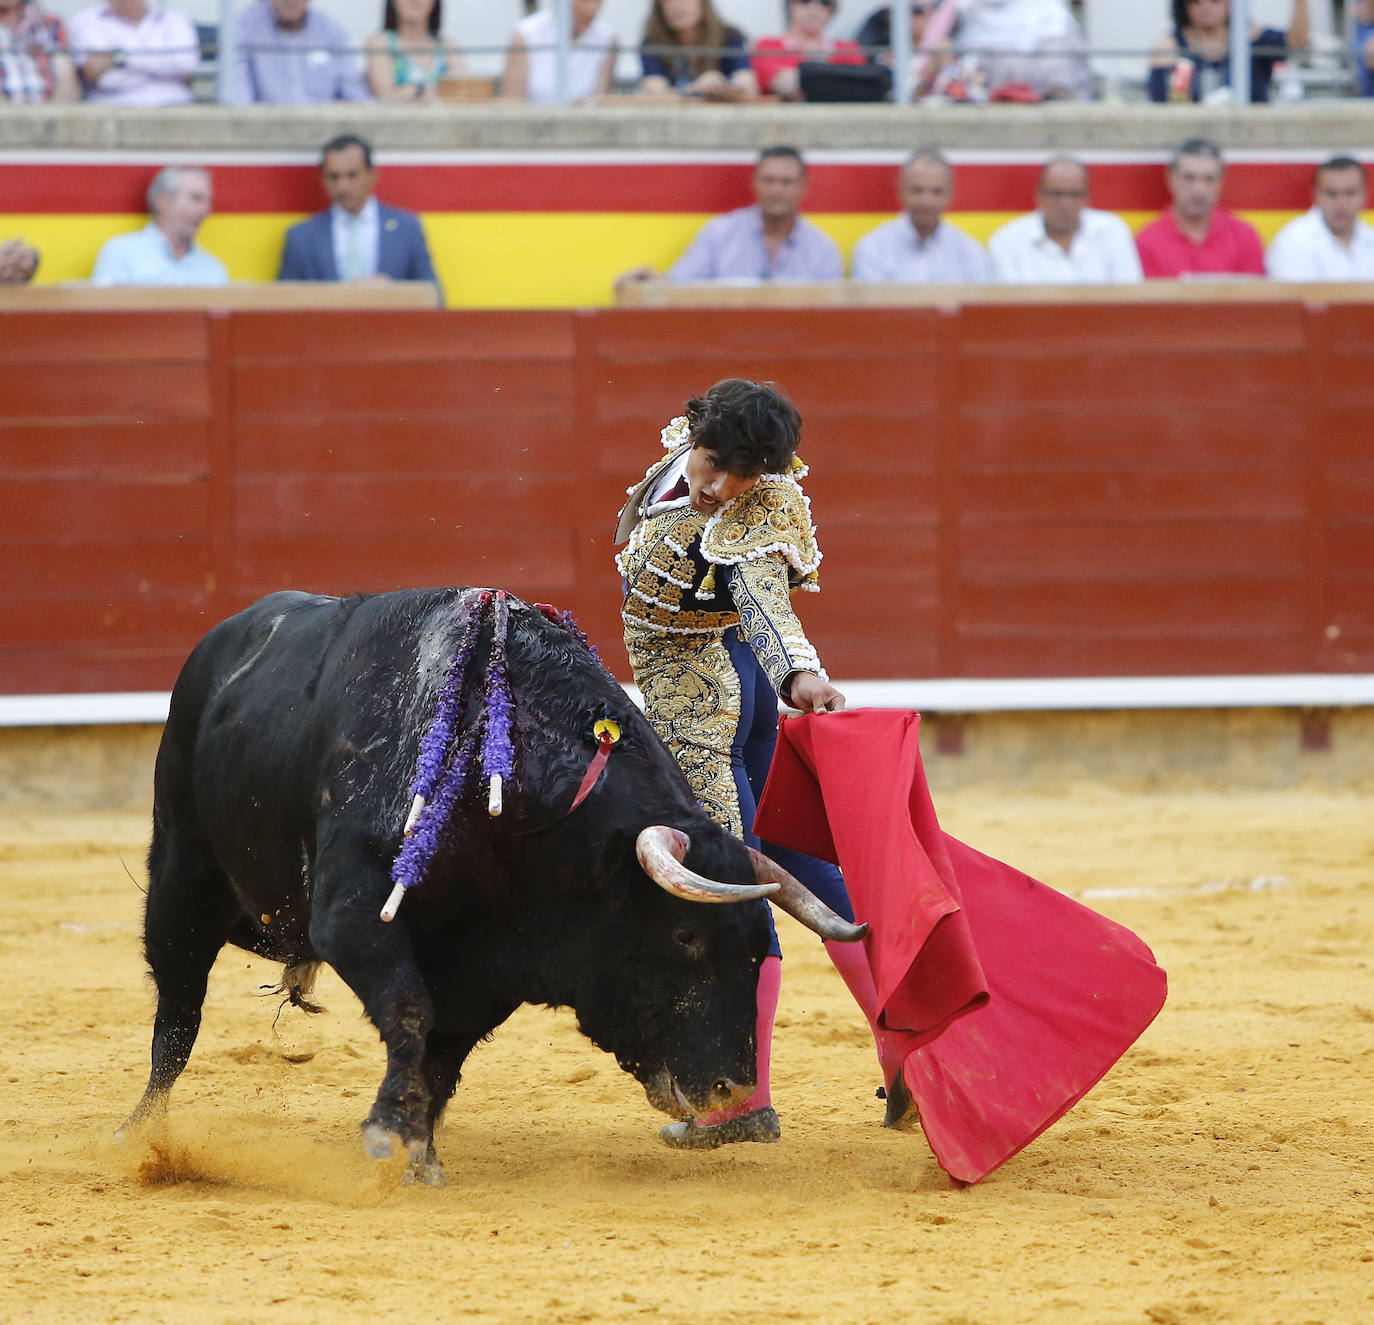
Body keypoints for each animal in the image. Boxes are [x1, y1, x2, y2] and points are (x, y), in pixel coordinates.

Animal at [123, 588, 862, 1182]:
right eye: (684, 934)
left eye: (756, 949)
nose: (731, 1087)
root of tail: (224, 639)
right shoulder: (354, 913)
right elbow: (409, 1010)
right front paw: (388, 1129)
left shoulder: (488, 968)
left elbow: (441, 1056)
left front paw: (421, 1153)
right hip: (181, 875)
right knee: (178, 1014)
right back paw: (143, 1139)